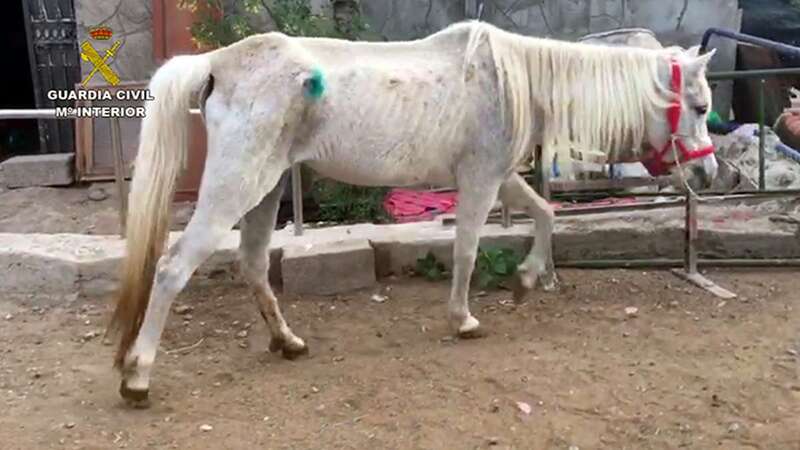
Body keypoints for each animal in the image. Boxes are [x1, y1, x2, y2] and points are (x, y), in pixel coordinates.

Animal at [106, 20, 718, 405]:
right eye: (699, 106)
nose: (711, 177)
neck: (511, 79)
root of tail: (217, 64)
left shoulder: (497, 175)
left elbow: (545, 214)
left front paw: (525, 280)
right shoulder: (479, 180)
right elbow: (467, 250)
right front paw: (464, 319)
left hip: (265, 191)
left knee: (253, 265)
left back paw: (288, 342)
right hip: (236, 189)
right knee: (172, 269)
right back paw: (138, 377)